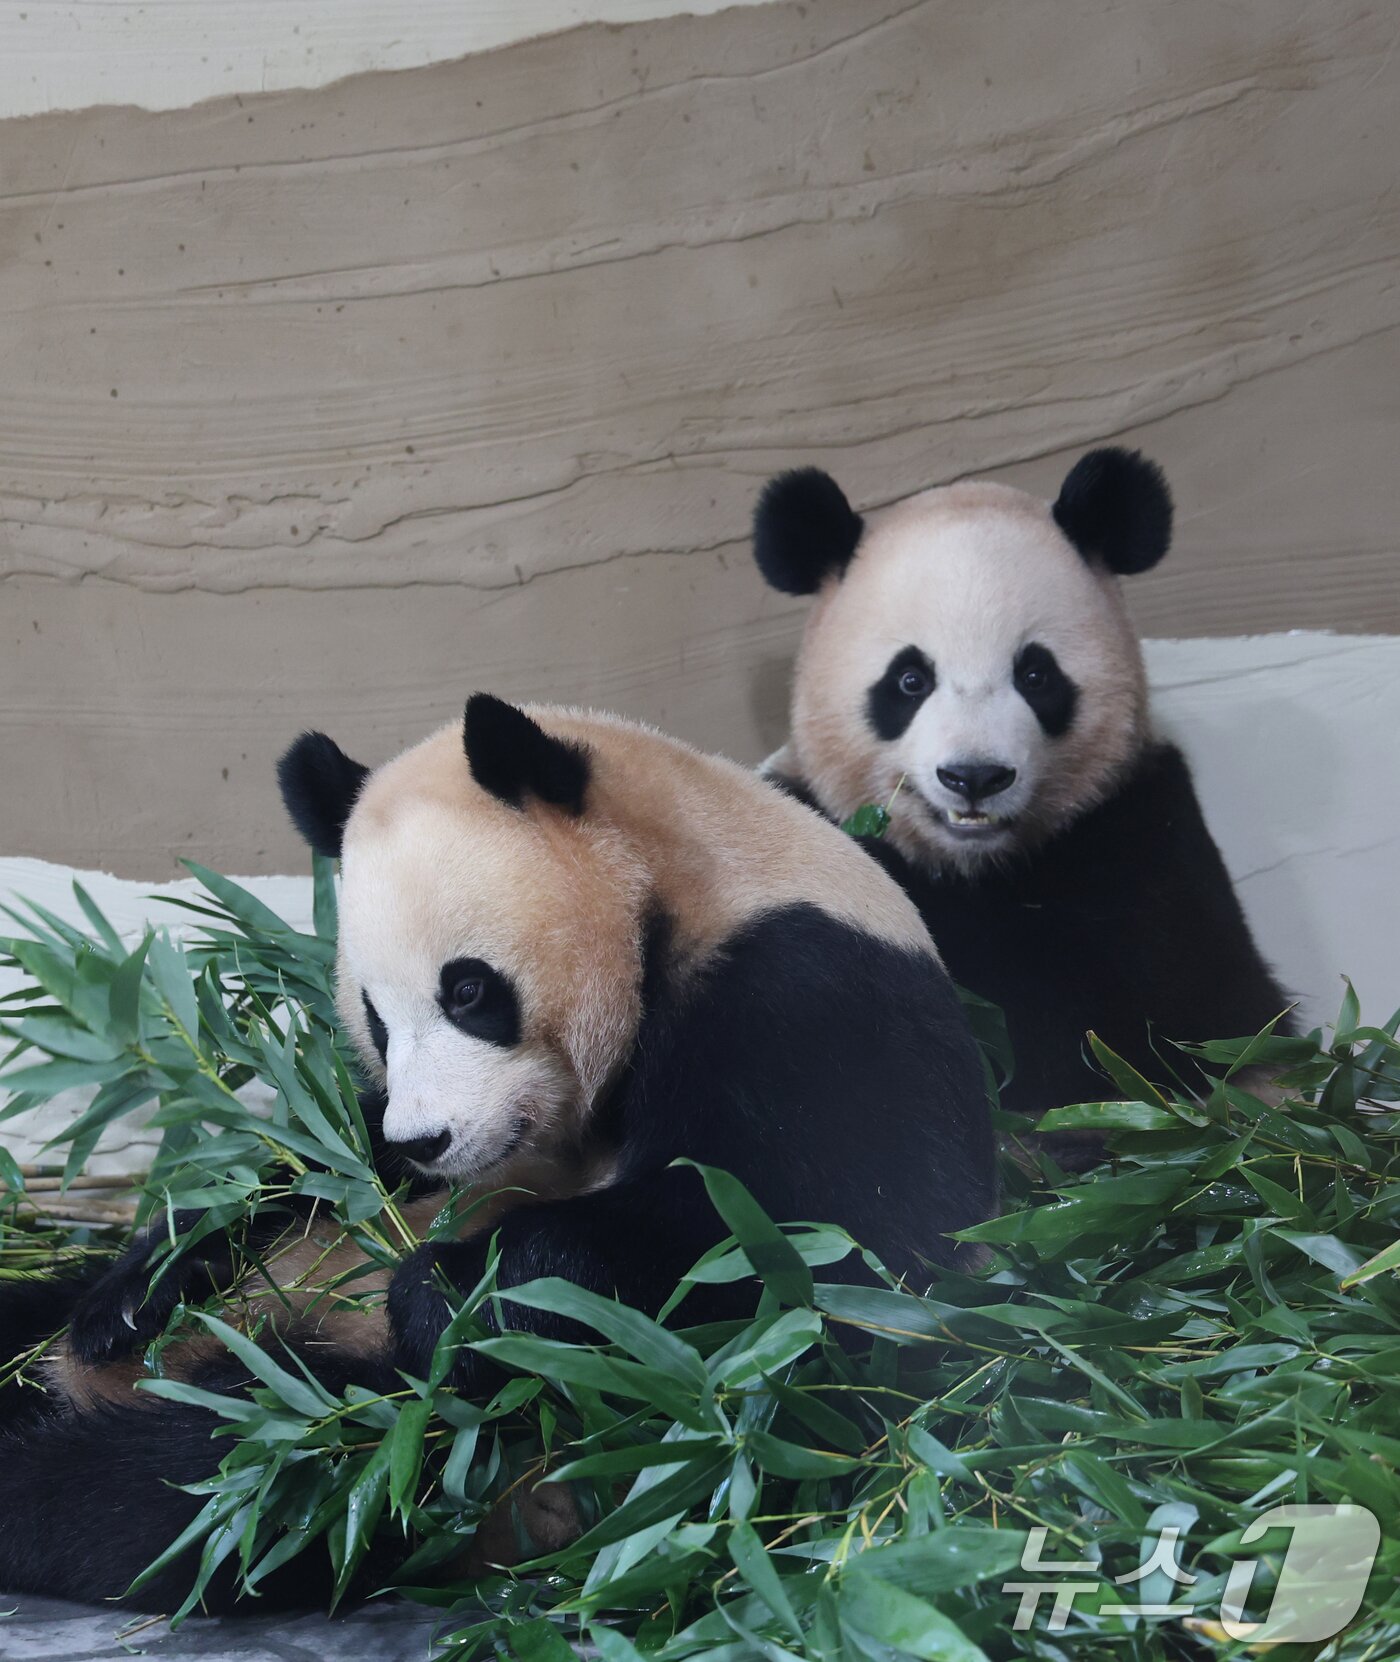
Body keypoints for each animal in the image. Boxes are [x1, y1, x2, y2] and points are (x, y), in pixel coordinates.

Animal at [0, 693, 995, 1611]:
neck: (685, 885)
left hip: (438, 1451)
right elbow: (309, 1160)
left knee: (230, 1476)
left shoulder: (812, 995)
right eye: (375, 1018)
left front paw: (450, 1290)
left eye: (469, 990)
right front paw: (143, 1286)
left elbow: (809, 1253)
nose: (427, 1142)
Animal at [751, 448, 1293, 1153]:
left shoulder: (1145, 833)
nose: (974, 776)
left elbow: (1188, 1020)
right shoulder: (810, 843)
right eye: (910, 679)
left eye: (1036, 674)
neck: (975, 867)